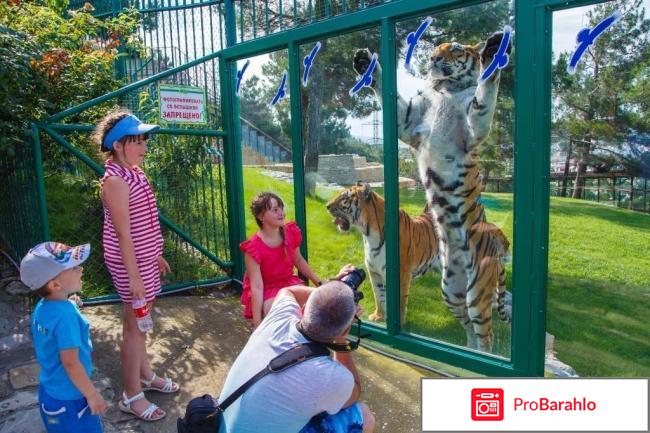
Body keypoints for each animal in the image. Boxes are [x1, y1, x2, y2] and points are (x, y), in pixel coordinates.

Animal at [326, 182, 438, 324]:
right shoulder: (374, 272)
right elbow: (378, 295)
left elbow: (401, 301)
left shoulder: (401, 275)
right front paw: (378, 316)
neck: (368, 234)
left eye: (344, 198)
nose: (326, 206)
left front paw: (399, 324)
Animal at [352, 32, 512, 352]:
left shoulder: (474, 127)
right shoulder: (408, 120)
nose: (433, 58)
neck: (445, 90)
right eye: (436, 49)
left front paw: (493, 51)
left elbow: (485, 94)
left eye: (456, 50)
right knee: (469, 326)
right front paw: (365, 63)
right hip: (452, 290)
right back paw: (467, 349)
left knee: (485, 333)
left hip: (478, 291)